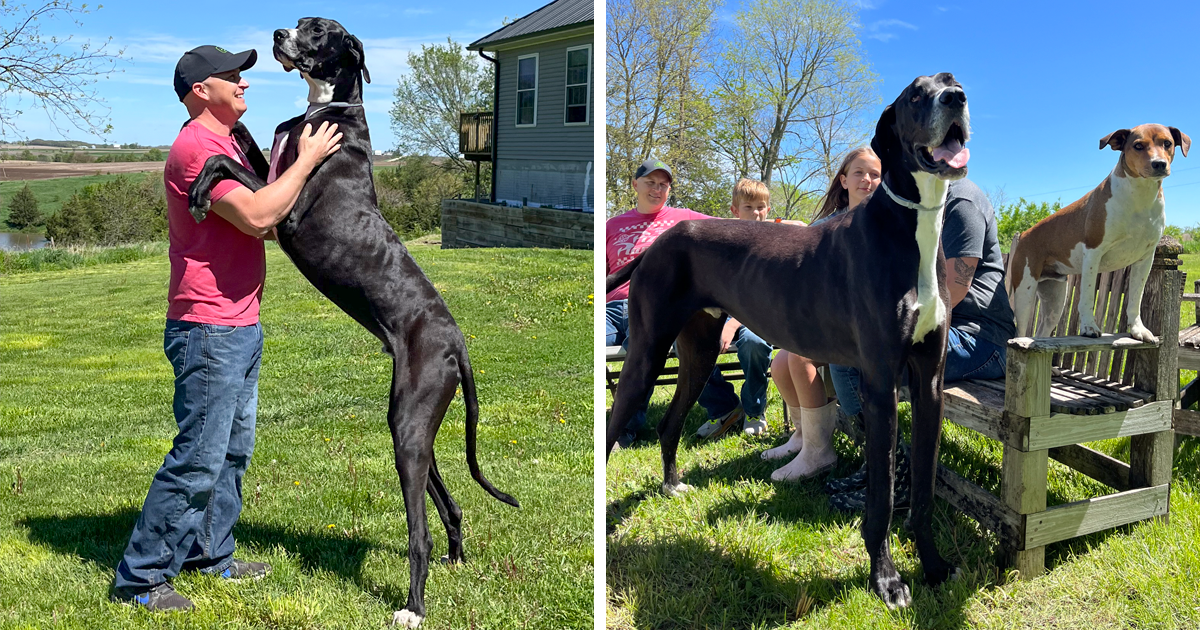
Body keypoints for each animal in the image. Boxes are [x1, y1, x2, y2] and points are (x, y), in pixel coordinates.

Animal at [1008, 124, 1185, 340]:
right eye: (1138, 145)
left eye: (1167, 143)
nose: (1159, 163)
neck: (1139, 196)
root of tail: (1024, 234)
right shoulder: (1093, 252)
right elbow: (1087, 295)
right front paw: (1088, 327)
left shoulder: (1145, 259)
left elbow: (1135, 298)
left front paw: (1138, 329)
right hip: (1024, 291)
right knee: (1020, 329)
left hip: (1054, 301)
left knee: (1042, 330)